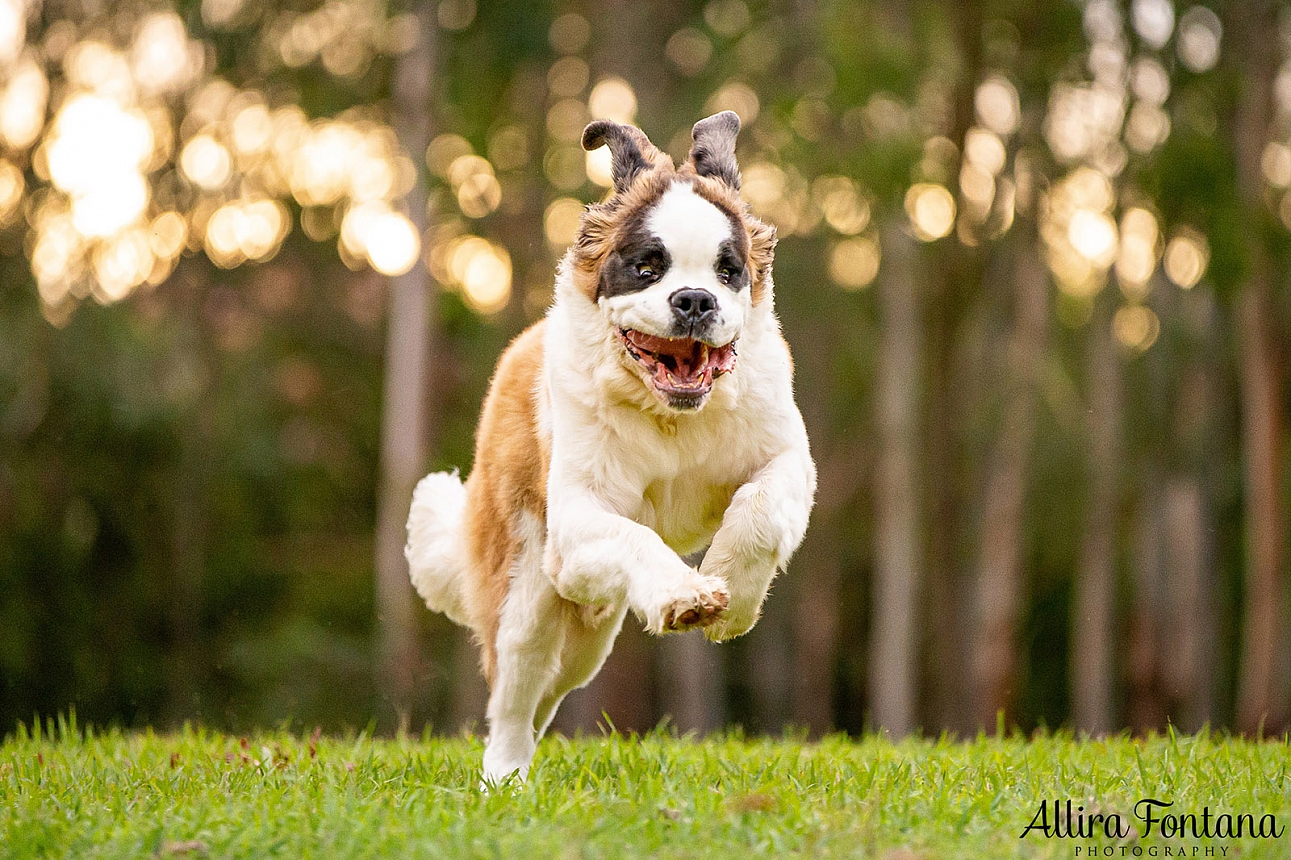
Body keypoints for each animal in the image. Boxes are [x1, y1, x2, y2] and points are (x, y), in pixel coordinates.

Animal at [407, 110, 815, 779]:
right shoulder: (577, 522)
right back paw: (504, 777)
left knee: (549, 691)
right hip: (530, 591)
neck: (670, 416)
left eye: (728, 272)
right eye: (647, 267)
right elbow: (636, 536)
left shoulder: (787, 459)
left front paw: (731, 600)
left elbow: (759, 511)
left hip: (587, 642)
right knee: (513, 695)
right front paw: (685, 592)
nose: (695, 301)